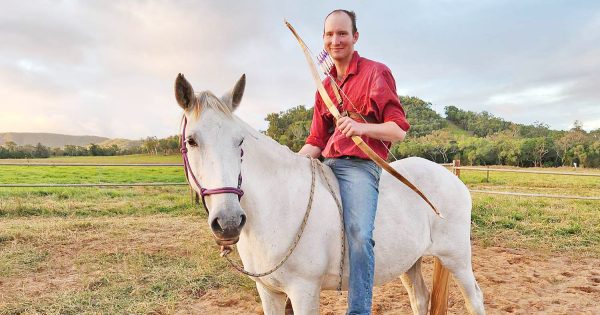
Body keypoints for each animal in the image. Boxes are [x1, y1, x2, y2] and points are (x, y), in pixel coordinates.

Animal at [173, 74, 482, 315]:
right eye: (192, 141)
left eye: (239, 141)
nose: (229, 221)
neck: (278, 206)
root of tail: (451, 178)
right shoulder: (269, 292)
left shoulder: (304, 291)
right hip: (410, 261)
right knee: (420, 298)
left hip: (456, 257)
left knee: (475, 298)